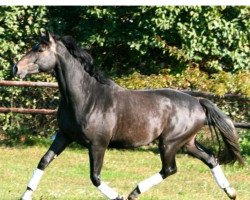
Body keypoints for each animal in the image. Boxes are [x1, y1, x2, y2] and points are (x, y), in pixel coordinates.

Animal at [12, 32, 243, 199]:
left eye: (40, 49)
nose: (16, 68)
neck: (87, 97)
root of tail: (198, 102)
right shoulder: (64, 136)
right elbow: (43, 162)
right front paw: (26, 196)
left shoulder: (98, 144)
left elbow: (95, 177)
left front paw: (119, 196)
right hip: (187, 143)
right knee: (210, 158)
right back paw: (231, 192)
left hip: (169, 143)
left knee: (169, 169)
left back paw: (133, 193)